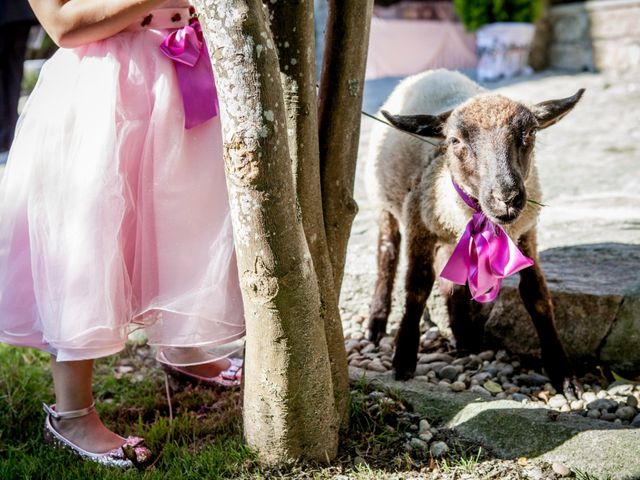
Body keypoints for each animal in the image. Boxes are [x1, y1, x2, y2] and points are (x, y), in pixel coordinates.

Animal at [362, 70, 584, 394]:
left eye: (530, 133)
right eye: (455, 141)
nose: (507, 197)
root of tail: (433, 72)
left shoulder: (526, 233)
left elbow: (537, 295)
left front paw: (563, 374)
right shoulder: (418, 227)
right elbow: (417, 287)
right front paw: (403, 359)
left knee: (450, 278)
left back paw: (462, 335)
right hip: (383, 202)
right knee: (386, 254)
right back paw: (377, 323)